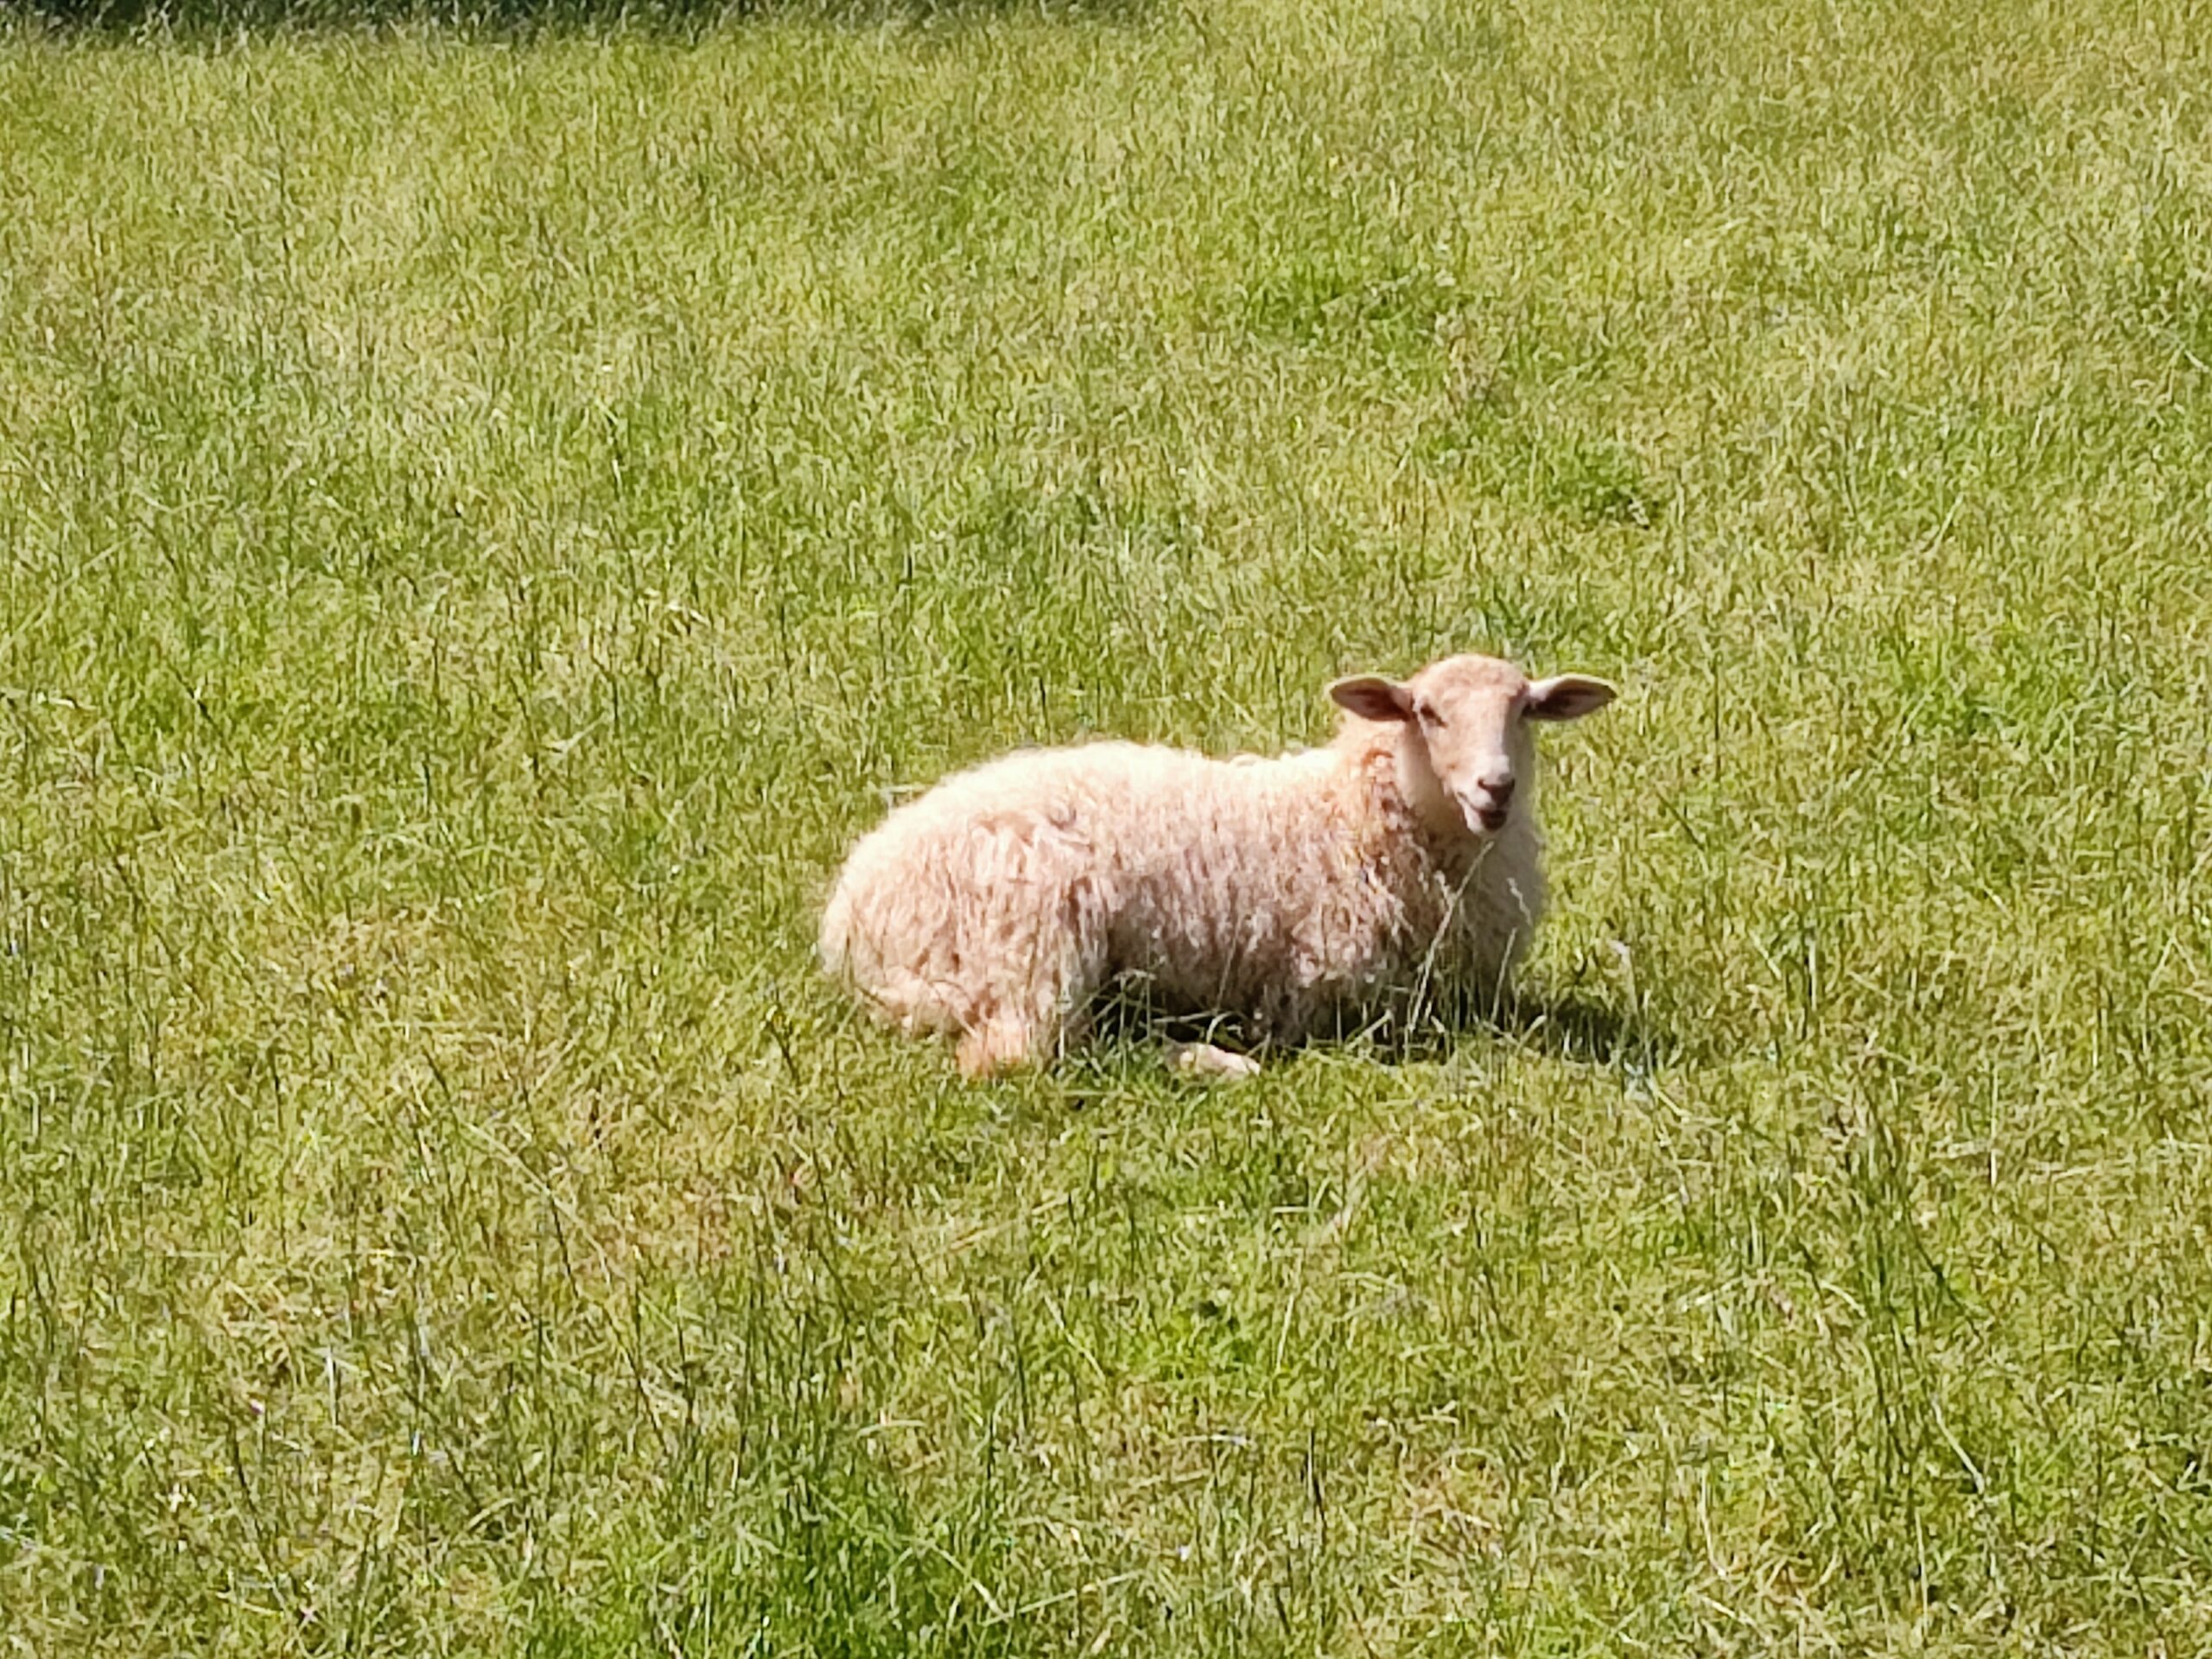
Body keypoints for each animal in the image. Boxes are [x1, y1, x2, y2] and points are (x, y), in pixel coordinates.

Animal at [823, 654, 1618, 1084]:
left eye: (1527, 708)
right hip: (1033, 935)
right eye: (1426, 712)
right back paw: (1214, 1062)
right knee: (1027, 1054)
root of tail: (851, 916)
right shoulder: (1330, 991)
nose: (1496, 787)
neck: (1352, 813)